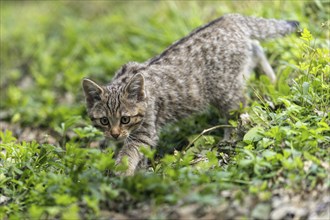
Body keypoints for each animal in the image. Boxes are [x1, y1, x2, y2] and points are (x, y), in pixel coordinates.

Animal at [82, 13, 300, 175]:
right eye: (104, 121)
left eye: (125, 119)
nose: (115, 134)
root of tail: (231, 17)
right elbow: (140, 156)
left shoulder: (145, 131)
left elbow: (130, 152)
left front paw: (122, 171)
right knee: (256, 48)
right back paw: (272, 80)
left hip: (226, 91)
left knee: (237, 112)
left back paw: (230, 136)